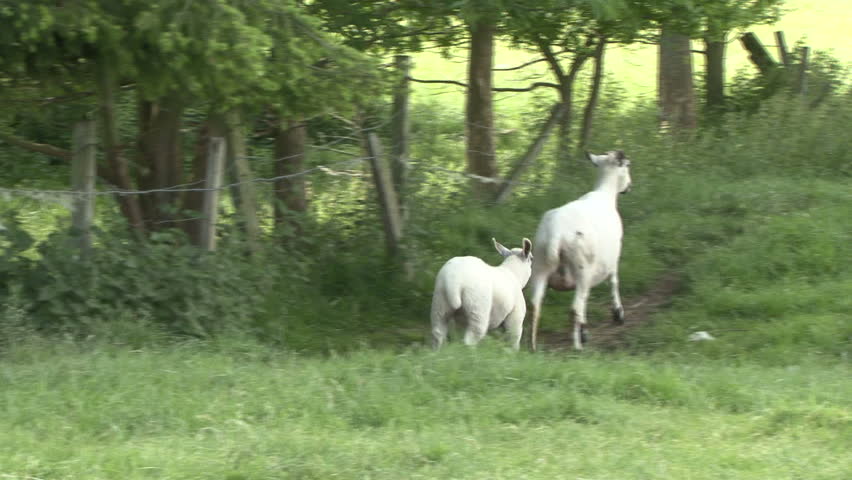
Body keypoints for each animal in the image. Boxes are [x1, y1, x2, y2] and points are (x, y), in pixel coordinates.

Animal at [527, 150, 633, 351]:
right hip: (582, 268)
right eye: (627, 166)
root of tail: (556, 234)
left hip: (540, 265)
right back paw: (577, 347)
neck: (605, 193)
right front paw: (618, 313)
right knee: (575, 307)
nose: (629, 187)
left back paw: (532, 345)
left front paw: (585, 330)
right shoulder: (613, 258)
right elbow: (614, 282)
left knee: (534, 304)